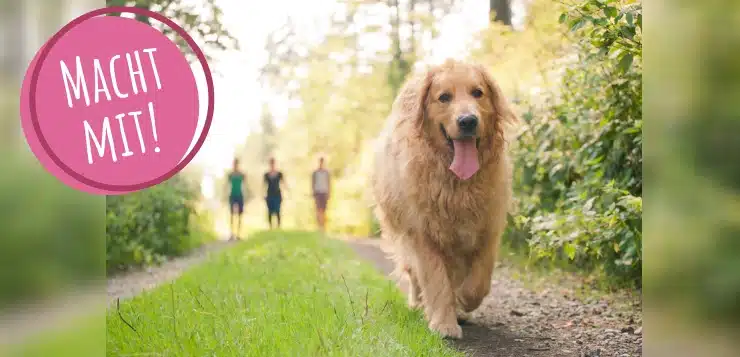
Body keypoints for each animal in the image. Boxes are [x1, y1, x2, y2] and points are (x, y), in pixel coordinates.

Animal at [368, 59, 516, 340]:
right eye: (444, 97)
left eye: (478, 93)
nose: (468, 121)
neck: (457, 184)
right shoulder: (424, 234)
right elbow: (437, 280)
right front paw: (444, 323)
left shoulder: (487, 229)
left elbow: (479, 280)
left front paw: (464, 302)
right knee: (415, 274)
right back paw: (418, 303)